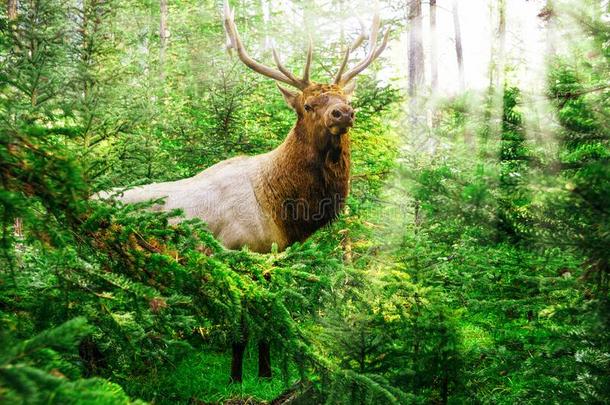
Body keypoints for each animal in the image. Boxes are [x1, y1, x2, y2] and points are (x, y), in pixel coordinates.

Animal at [98, 0, 388, 384]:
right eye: (308, 105)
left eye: (342, 96)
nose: (344, 112)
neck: (280, 207)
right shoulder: (238, 250)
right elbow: (241, 327)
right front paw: (236, 376)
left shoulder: (272, 257)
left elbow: (266, 323)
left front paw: (265, 372)